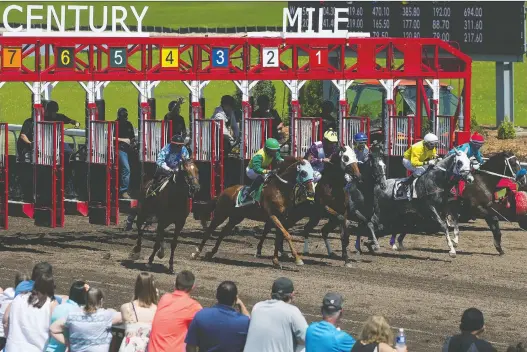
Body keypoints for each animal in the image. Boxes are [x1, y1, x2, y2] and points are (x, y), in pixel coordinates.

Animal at [392, 151, 524, 256]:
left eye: (519, 163)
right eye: (513, 163)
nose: (523, 179)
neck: (482, 182)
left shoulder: (486, 207)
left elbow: (494, 225)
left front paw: (499, 248)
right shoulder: (477, 209)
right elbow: (495, 220)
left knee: (409, 222)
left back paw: (399, 242)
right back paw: (394, 243)